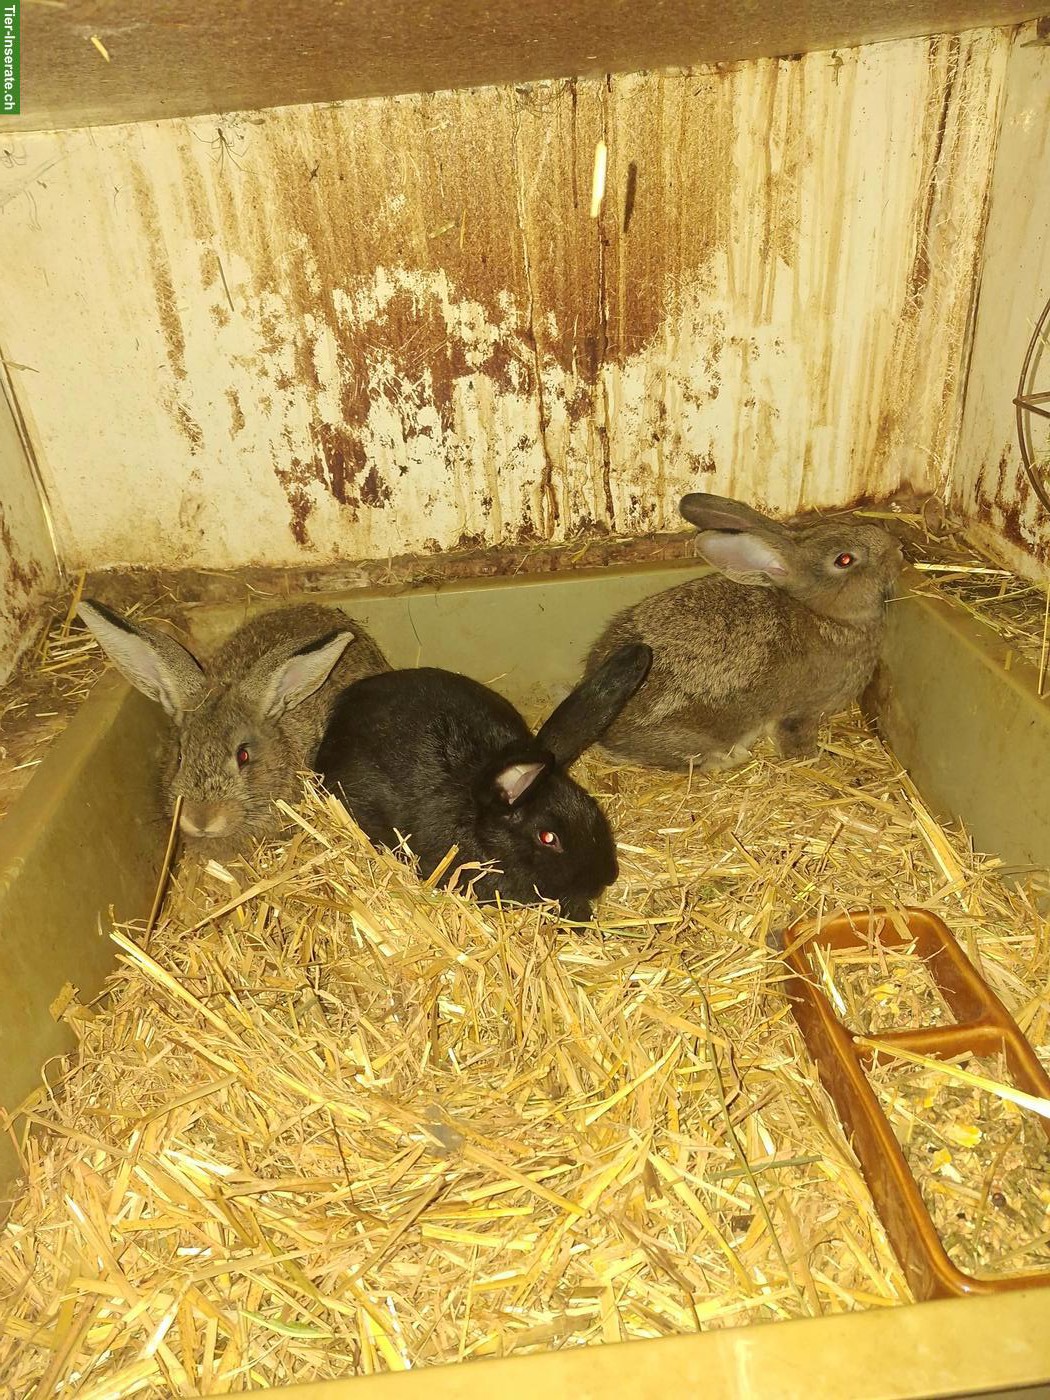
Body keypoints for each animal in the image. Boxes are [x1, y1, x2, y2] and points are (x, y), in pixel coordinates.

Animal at [585, 493, 904, 772]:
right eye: (844, 560)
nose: (898, 547)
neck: (823, 614)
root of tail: (604, 735)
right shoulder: (800, 713)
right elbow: (794, 739)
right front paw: (812, 761)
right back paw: (730, 758)